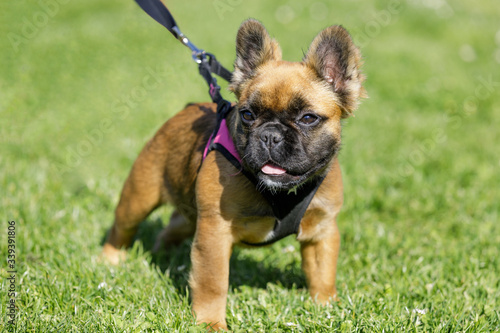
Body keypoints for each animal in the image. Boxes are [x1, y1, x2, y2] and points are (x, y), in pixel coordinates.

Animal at [102, 19, 368, 330]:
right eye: (248, 115)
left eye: (308, 118)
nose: (270, 135)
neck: (279, 191)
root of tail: (185, 111)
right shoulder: (214, 235)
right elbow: (212, 283)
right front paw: (210, 324)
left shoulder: (322, 230)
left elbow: (322, 273)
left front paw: (326, 307)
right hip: (139, 197)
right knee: (122, 228)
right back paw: (110, 259)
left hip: (190, 215)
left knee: (172, 227)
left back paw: (163, 253)